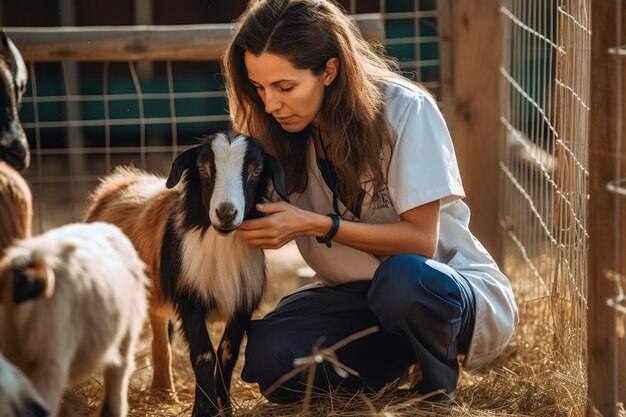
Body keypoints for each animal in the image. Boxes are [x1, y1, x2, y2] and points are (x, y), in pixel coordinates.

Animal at [85, 131, 288, 416]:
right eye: (203, 169)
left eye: (256, 171)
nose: (226, 213)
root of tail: (118, 183)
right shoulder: (189, 299)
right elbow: (203, 356)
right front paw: (205, 410)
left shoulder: (242, 302)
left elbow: (227, 354)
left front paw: (224, 408)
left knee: (160, 336)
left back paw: (163, 392)